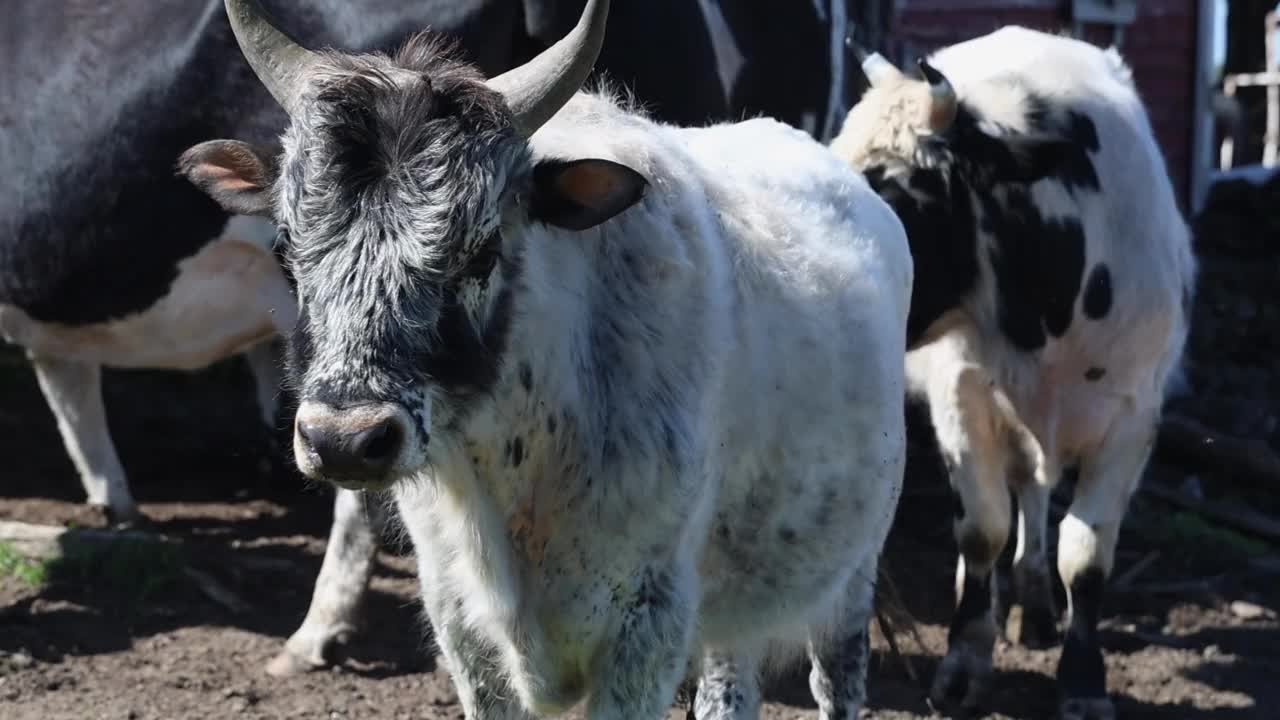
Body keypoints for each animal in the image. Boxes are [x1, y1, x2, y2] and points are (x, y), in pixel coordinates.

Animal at [829, 28, 1198, 717]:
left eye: (896, 192)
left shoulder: (1133, 417)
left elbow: (1086, 551)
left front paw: (1082, 679)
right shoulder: (962, 396)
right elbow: (982, 529)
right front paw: (965, 661)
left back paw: (1036, 605)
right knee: (1021, 488)